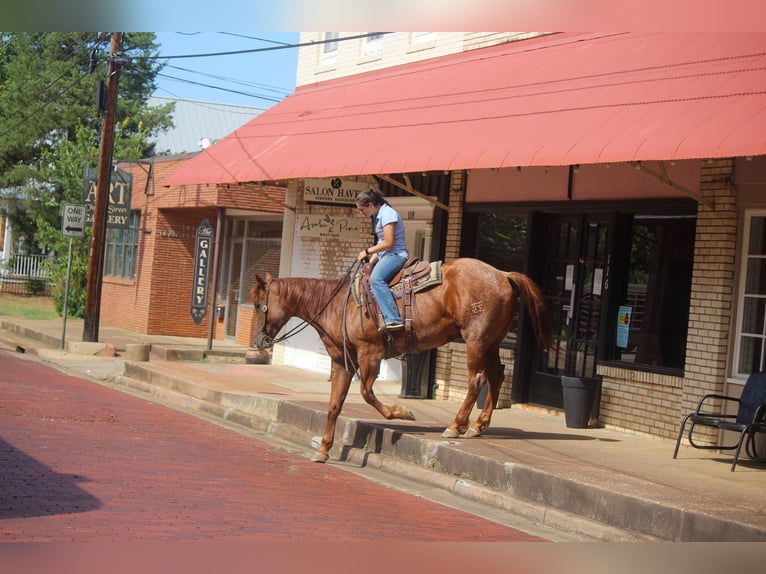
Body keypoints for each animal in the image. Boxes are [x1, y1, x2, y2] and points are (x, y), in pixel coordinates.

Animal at [249, 258, 556, 466]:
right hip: (491, 343)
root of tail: (503, 274)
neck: (337, 305)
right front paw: (324, 449)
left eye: (257, 304)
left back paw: (455, 426)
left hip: (476, 340)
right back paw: (478, 426)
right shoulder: (342, 363)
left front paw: (402, 413)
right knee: (497, 375)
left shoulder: (370, 355)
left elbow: (367, 393)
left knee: (477, 379)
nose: (258, 341)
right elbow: (335, 405)